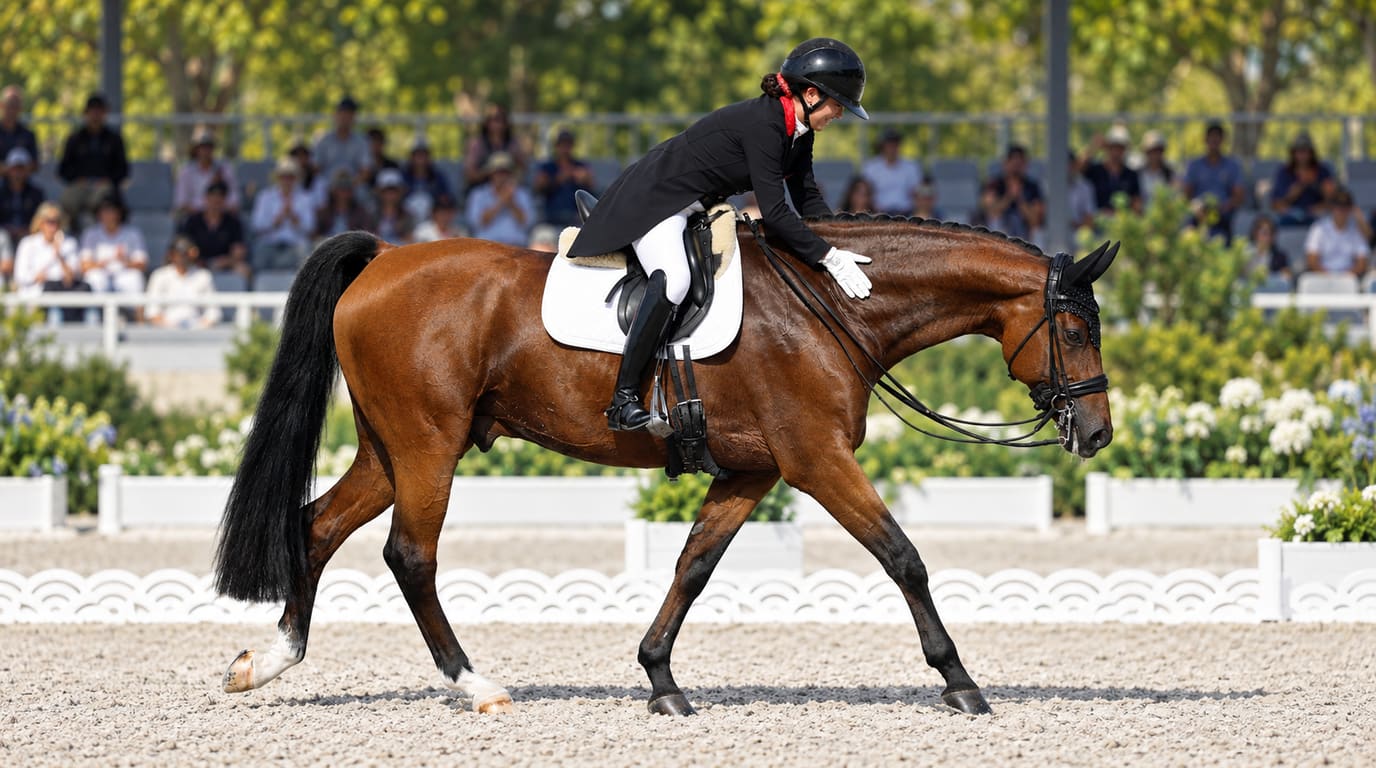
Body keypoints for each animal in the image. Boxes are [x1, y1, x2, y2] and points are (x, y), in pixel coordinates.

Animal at [212, 215, 1117, 717]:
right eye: (1076, 330)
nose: (1099, 434)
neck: (831, 306)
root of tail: (385, 256)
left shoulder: (754, 471)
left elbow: (694, 566)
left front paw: (660, 679)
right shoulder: (816, 459)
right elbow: (904, 557)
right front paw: (960, 681)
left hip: (390, 448)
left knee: (316, 527)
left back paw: (269, 662)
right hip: (429, 444)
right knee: (410, 555)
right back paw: (476, 685)